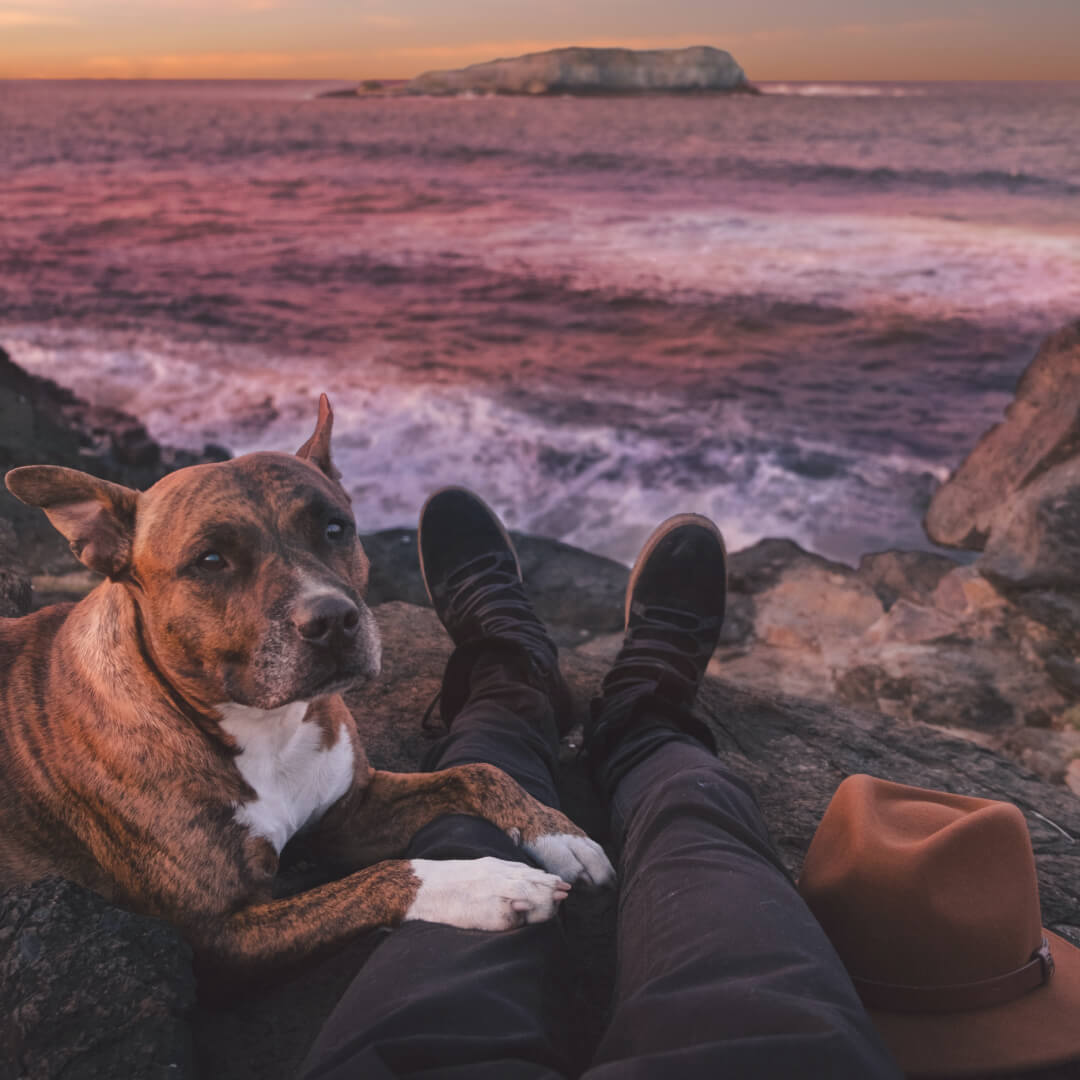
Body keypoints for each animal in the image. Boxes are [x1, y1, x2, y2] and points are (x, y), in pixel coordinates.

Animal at [0, 399, 613, 989]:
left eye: (336, 529)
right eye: (210, 560)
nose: (333, 620)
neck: (263, 728)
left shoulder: (350, 810)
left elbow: (477, 771)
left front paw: (558, 832)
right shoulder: (219, 935)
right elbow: (379, 878)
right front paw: (484, 883)